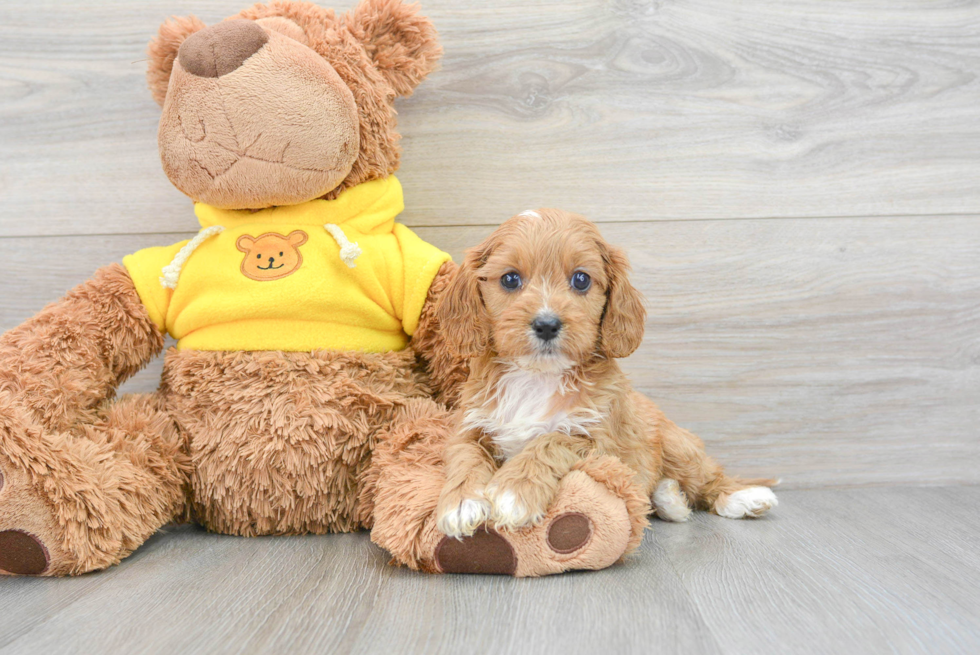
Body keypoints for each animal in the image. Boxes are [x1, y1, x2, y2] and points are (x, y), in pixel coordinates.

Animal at [432, 209, 776, 540]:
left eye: (581, 279)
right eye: (510, 279)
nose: (546, 324)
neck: (537, 376)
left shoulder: (599, 440)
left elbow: (550, 441)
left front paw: (514, 490)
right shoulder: (470, 425)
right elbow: (466, 456)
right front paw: (461, 502)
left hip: (679, 447)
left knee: (708, 478)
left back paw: (740, 497)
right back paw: (669, 498)